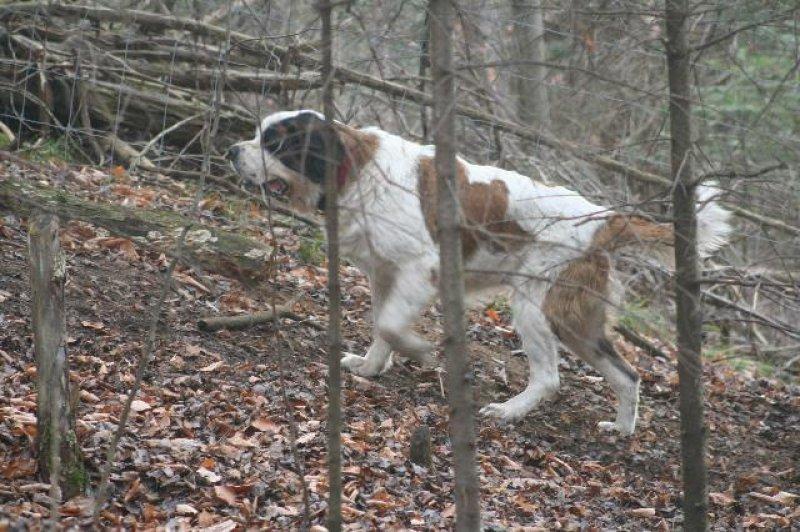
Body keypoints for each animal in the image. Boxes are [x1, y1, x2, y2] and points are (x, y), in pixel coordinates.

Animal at [227, 109, 731, 435]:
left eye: (275, 143)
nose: (233, 150)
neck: (358, 172)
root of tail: (601, 218)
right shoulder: (384, 275)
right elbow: (379, 327)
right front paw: (371, 368)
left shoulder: (421, 269)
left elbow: (390, 325)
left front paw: (421, 351)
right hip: (576, 321)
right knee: (628, 375)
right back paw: (623, 428)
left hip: (534, 306)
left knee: (549, 378)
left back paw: (509, 412)